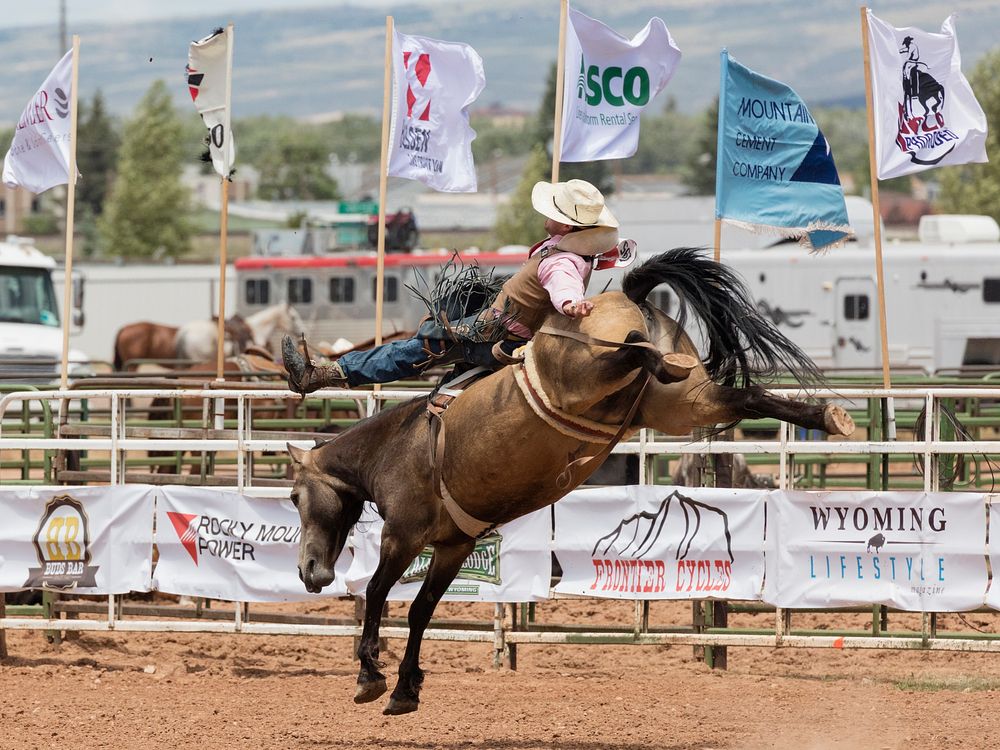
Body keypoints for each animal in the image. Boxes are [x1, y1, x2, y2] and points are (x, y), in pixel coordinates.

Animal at [286, 247, 856, 716]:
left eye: (293, 496)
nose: (309, 571)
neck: (396, 446)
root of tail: (629, 297)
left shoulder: (402, 535)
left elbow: (378, 594)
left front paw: (369, 676)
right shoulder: (453, 545)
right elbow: (422, 612)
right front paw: (405, 688)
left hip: (588, 375)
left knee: (631, 352)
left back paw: (658, 357)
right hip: (683, 405)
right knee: (744, 396)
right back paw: (829, 416)